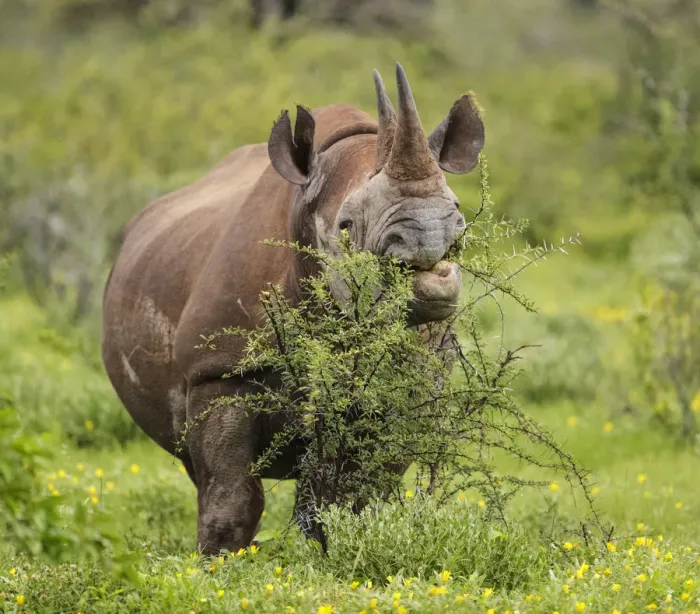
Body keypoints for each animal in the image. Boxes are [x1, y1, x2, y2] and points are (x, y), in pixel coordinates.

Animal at [102, 63, 484, 555]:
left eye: (458, 211)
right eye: (346, 226)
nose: (430, 238)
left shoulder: (408, 384)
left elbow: (355, 497)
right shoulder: (216, 370)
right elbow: (232, 500)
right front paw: (218, 564)